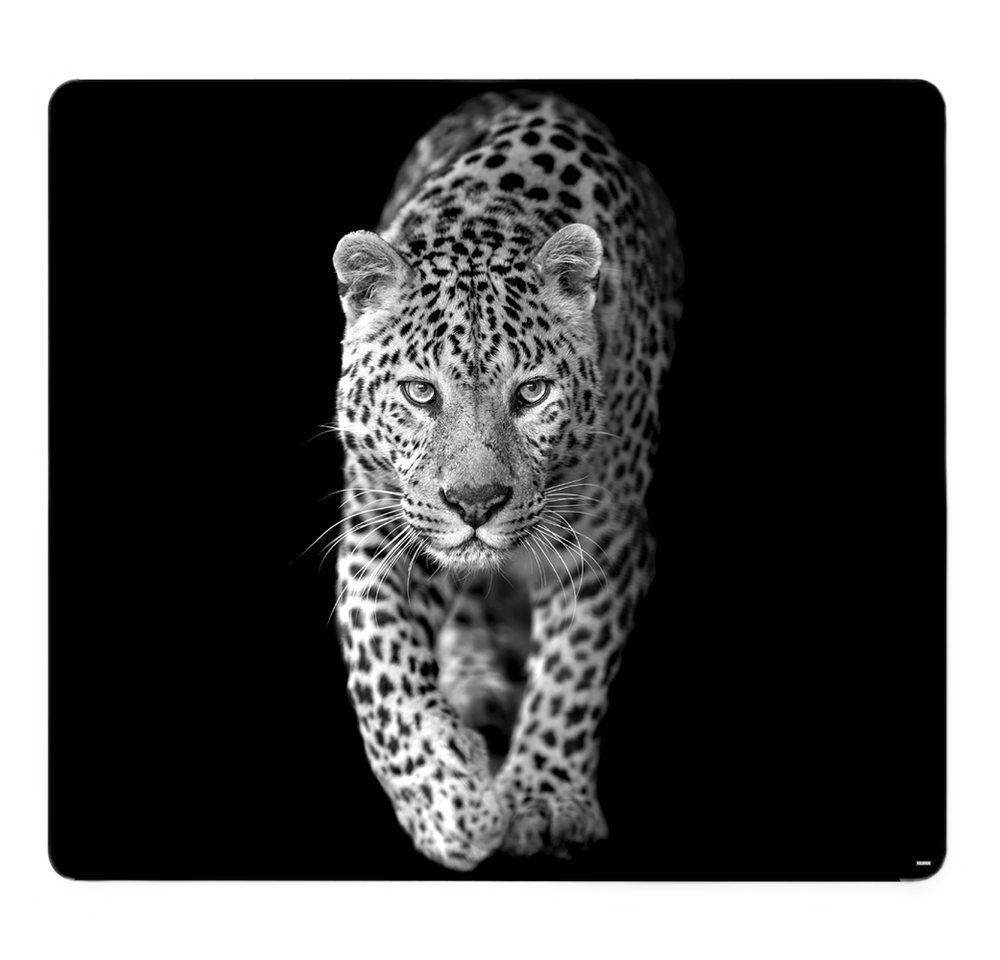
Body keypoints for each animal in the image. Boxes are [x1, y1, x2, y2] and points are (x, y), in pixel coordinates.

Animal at [326, 89, 683, 871]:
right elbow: (385, 674)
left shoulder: (608, 540)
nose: (475, 504)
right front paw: (448, 804)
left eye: (531, 393)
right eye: (420, 393)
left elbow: (574, 672)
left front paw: (543, 800)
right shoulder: (376, 531)